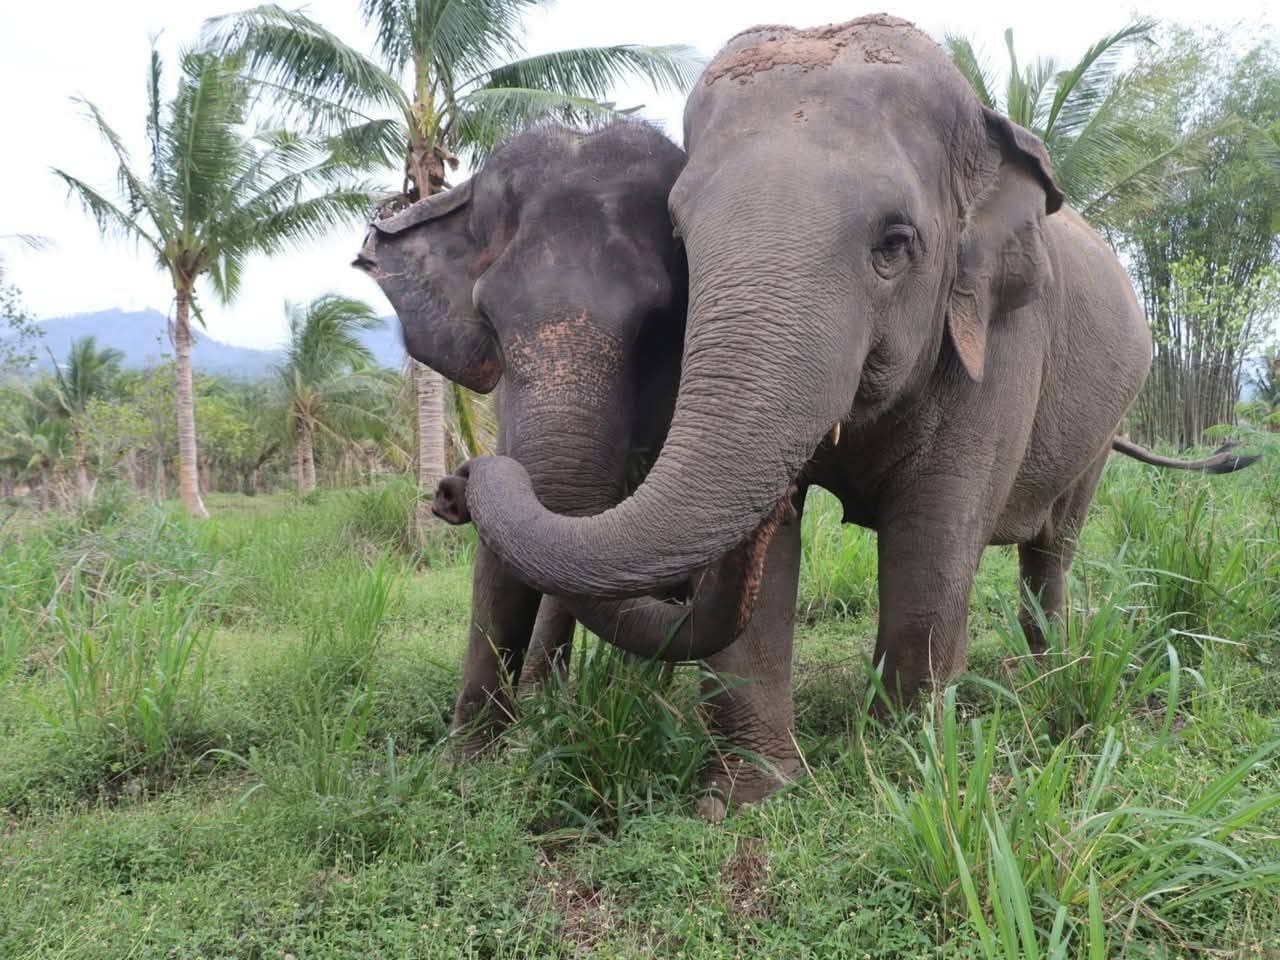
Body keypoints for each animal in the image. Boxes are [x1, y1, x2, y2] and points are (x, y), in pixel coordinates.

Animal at [354, 121, 800, 809]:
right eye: (489, 319)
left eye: (656, 322)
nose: (453, 486)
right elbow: (506, 562)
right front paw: (466, 768)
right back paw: (550, 702)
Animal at [442, 17, 1258, 730]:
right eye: (677, 237)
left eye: (895, 243)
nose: (457, 482)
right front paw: (758, 789)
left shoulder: (1003, 337)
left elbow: (934, 536)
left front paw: (907, 759)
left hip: (1107, 418)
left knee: (1052, 549)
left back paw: (1052, 671)